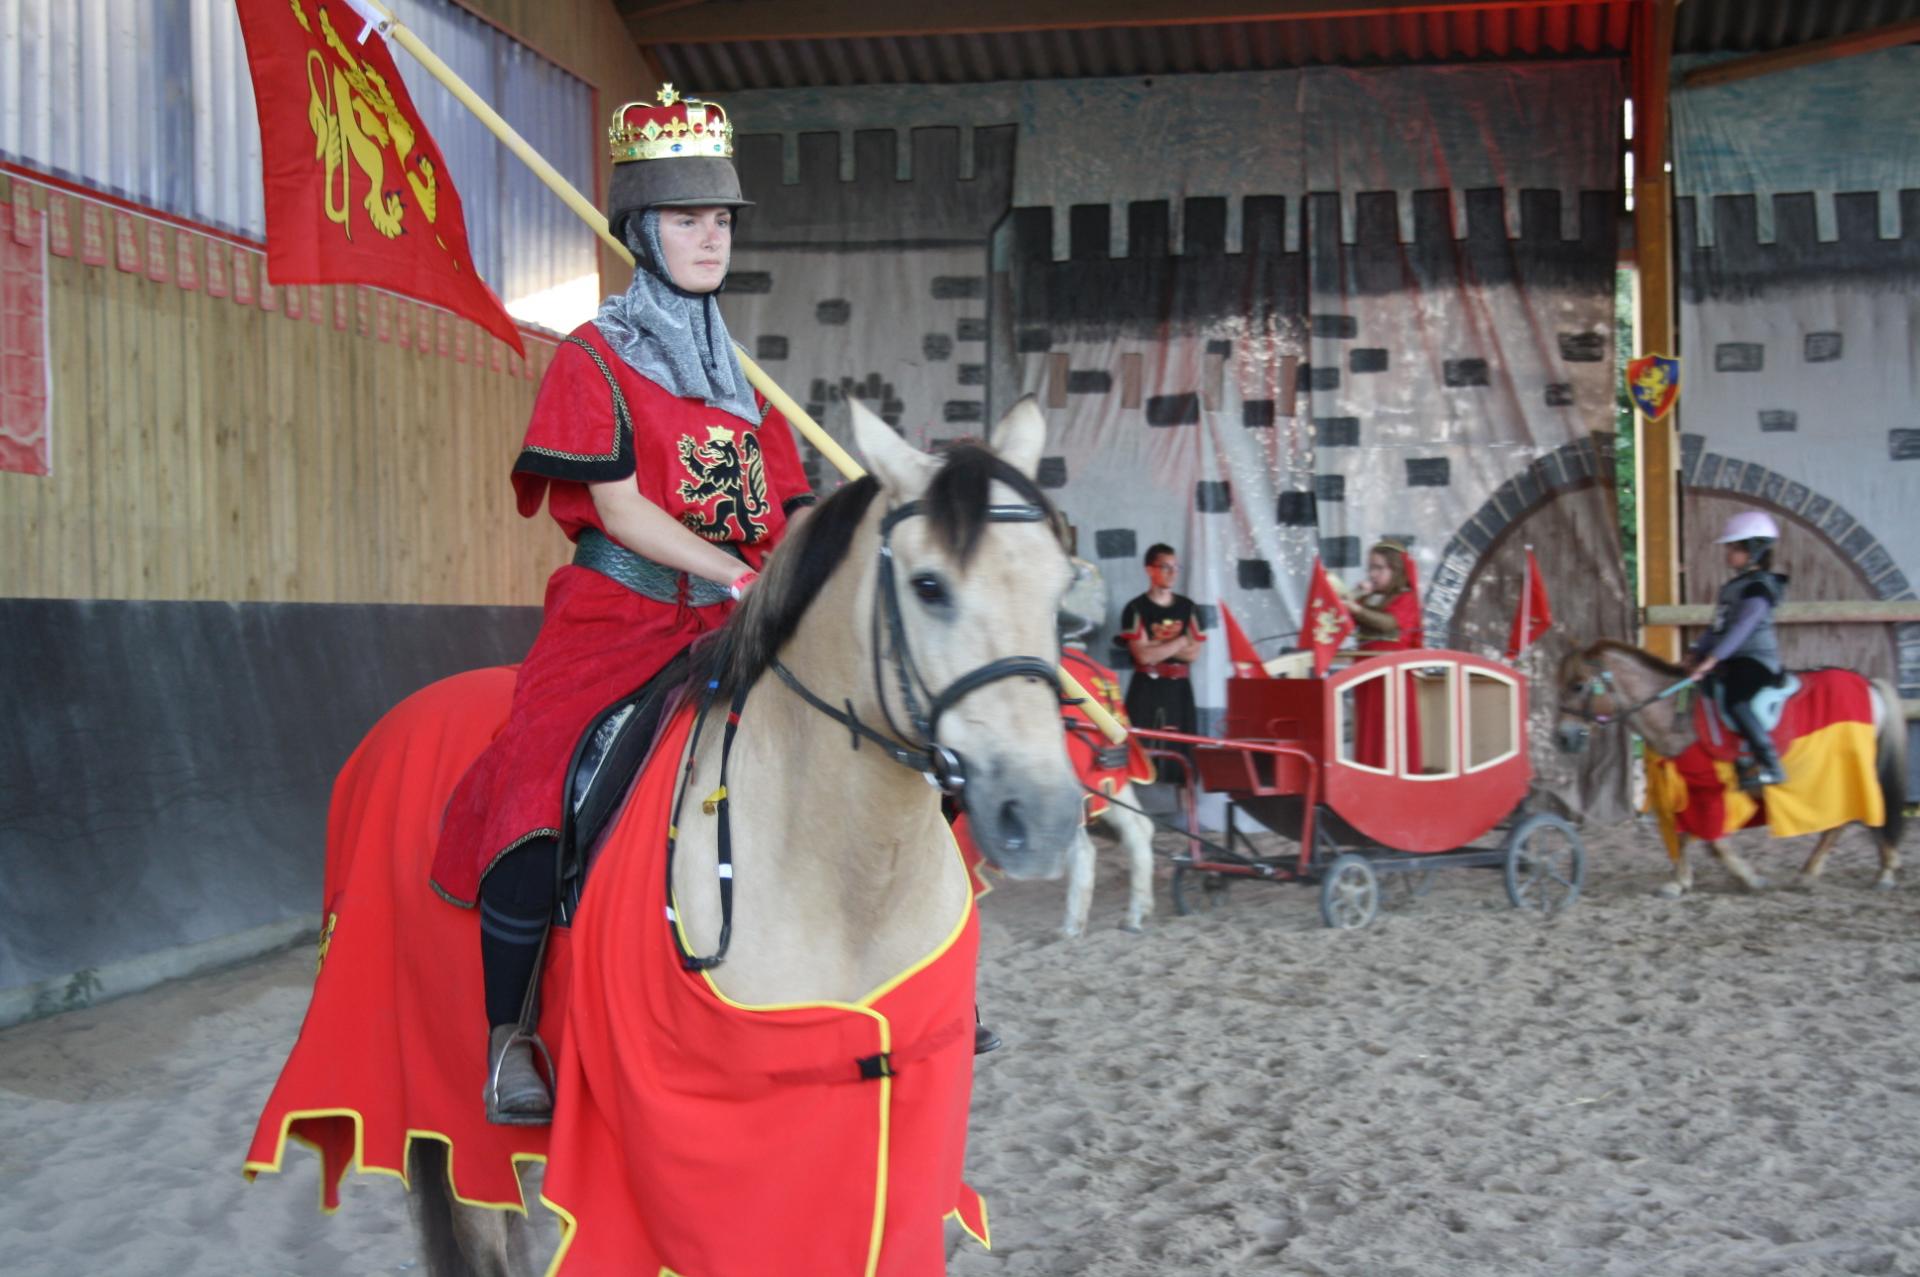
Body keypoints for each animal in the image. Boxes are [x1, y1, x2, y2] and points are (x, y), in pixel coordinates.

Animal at [1559, 637, 1904, 894]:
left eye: (1578, 685)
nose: (1564, 738)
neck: (1674, 712)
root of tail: (1868, 685)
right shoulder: (1687, 789)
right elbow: (1685, 835)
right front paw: (1679, 881)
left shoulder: (1709, 789)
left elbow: (1713, 841)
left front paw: (1747, 877)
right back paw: (1870, 870)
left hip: (1845, 770)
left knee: (1856, 817)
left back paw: (1841, 873)